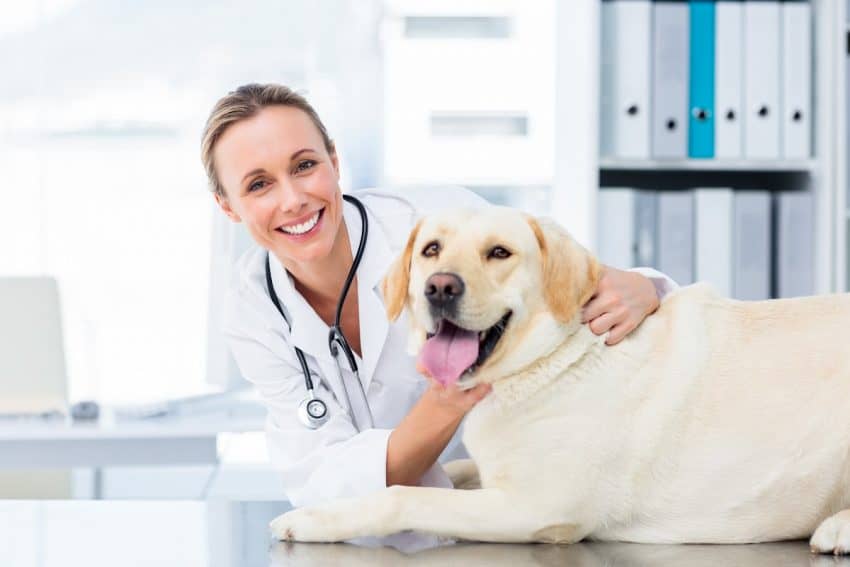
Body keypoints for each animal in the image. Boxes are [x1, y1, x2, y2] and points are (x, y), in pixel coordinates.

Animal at [268, 206, 848, 552]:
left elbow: (402, 498)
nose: (439, 287)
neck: (550, 361)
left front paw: (313, 519)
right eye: (431, 249)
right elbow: (446, 469)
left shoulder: (537, 508)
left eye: (499, 253)